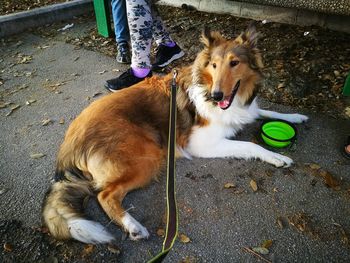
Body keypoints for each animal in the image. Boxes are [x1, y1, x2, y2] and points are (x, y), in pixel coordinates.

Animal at [42, 25, 308, 244]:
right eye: (214, 65)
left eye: (234, 63)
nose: (217, 96)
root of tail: (68, 146)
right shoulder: (201, 144)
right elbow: (251, 146)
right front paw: (276, 157)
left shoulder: (244, 110)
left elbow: (264, 110)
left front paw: (296, 116)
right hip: (148, 156)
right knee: (105, 195)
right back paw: (133, 227)